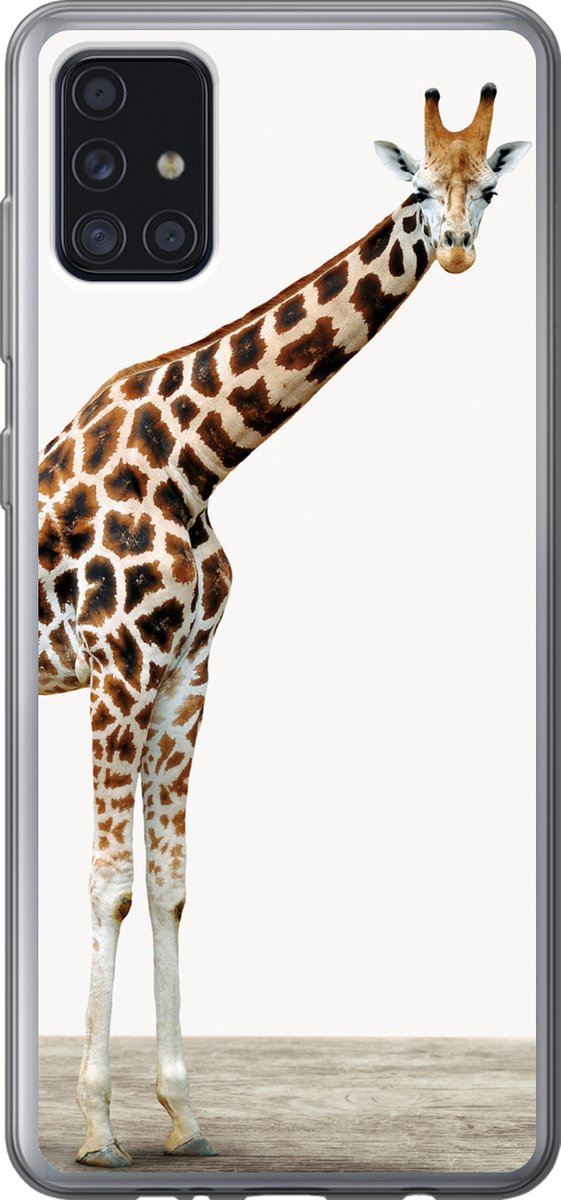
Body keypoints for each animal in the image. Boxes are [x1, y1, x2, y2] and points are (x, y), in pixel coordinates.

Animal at [38, 84, 529, 1167]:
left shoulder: (183, 677)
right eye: (417, 187)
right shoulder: (114, 671)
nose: (457, 250)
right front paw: (97, 1128)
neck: (195, 459)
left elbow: (170, 885)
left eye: (491, 185)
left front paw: (183, 1116)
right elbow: (109, 884)